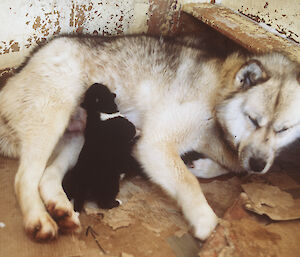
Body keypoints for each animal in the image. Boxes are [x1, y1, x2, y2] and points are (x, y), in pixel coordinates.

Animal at [63, 83, 141, 211]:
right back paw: (117, 202)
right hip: (111, 183)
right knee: (103, 203)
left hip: (70, 179)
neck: (98, 111)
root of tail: (83, 187)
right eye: (99, 95)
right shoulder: (126, 126)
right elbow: (133, 129)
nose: (95, 83)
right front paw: (140, 132)